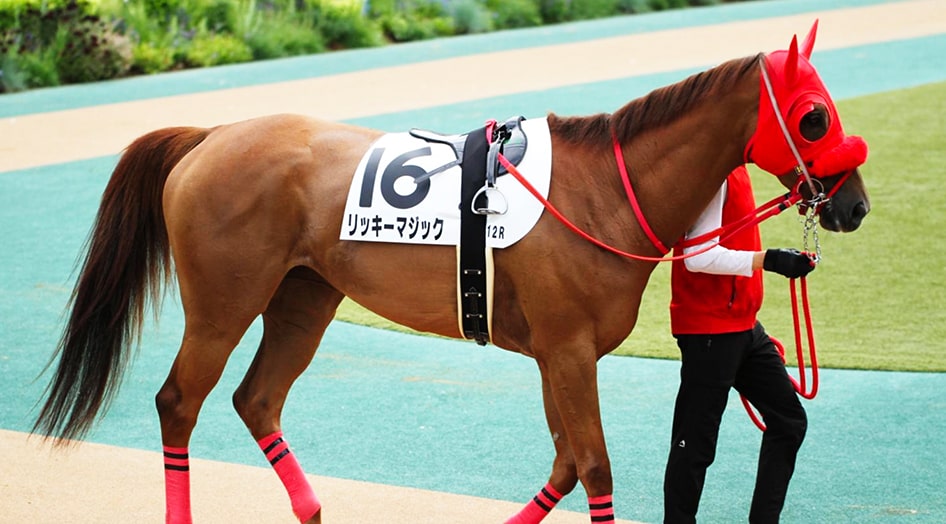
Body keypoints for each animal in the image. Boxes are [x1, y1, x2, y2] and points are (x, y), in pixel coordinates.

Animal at [33, 24, 868, 524]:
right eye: (815, 115)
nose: (855, 204)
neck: (600, 191)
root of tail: (209, 134)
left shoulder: (556, 356)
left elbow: (566, 465)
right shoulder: (569, 352)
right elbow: (595, 467)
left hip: (305, 297)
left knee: (257, 399)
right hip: (222, 301)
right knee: (180, 402)